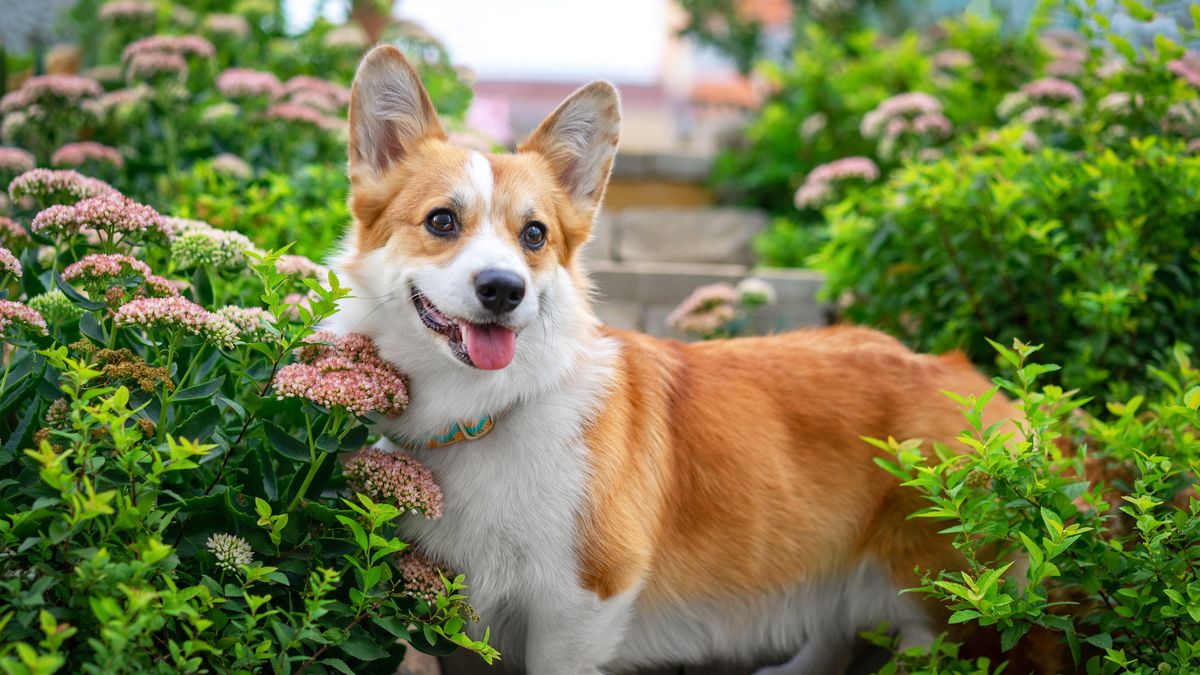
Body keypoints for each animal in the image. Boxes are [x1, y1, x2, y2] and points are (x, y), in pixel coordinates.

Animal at [326, 44, 1012, 667]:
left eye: (535, 235)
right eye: (442, 221)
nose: (503, 289)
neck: (483, 414)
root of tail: (969, 378)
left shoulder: (580, 606)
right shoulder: (458, 622)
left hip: (948, 605)